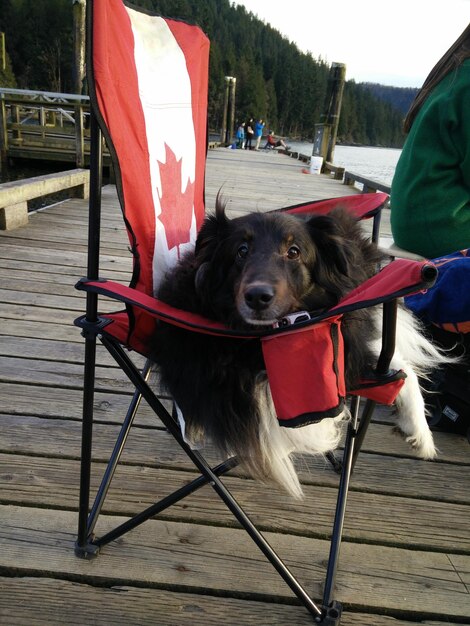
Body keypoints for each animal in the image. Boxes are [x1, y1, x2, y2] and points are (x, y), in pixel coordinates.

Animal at [151, 196, 452, 498]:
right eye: (241, 251)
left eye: (293, 252)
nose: (257, 297)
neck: (262, 338)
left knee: (398, 363)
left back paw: (421, 435)